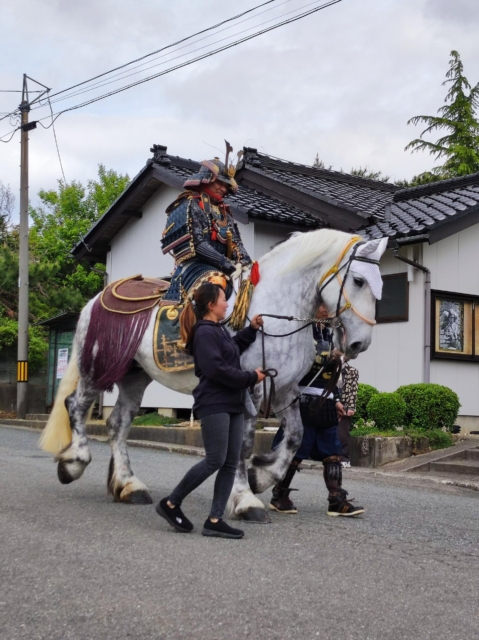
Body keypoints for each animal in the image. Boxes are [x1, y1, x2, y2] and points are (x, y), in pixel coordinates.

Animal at [39, 228, 388, 524]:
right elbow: (243, 445)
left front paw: (261, 476)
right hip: (98, 366)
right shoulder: (250, 387)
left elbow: (294, 437)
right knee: (76, 406)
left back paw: (129, 485)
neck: (273, 310)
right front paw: (246, 500)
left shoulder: (285, 389)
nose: (360, 343)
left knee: (118, 424)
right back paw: (74, 462)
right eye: (358, 280)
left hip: (134, 376)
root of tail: (95, 299)